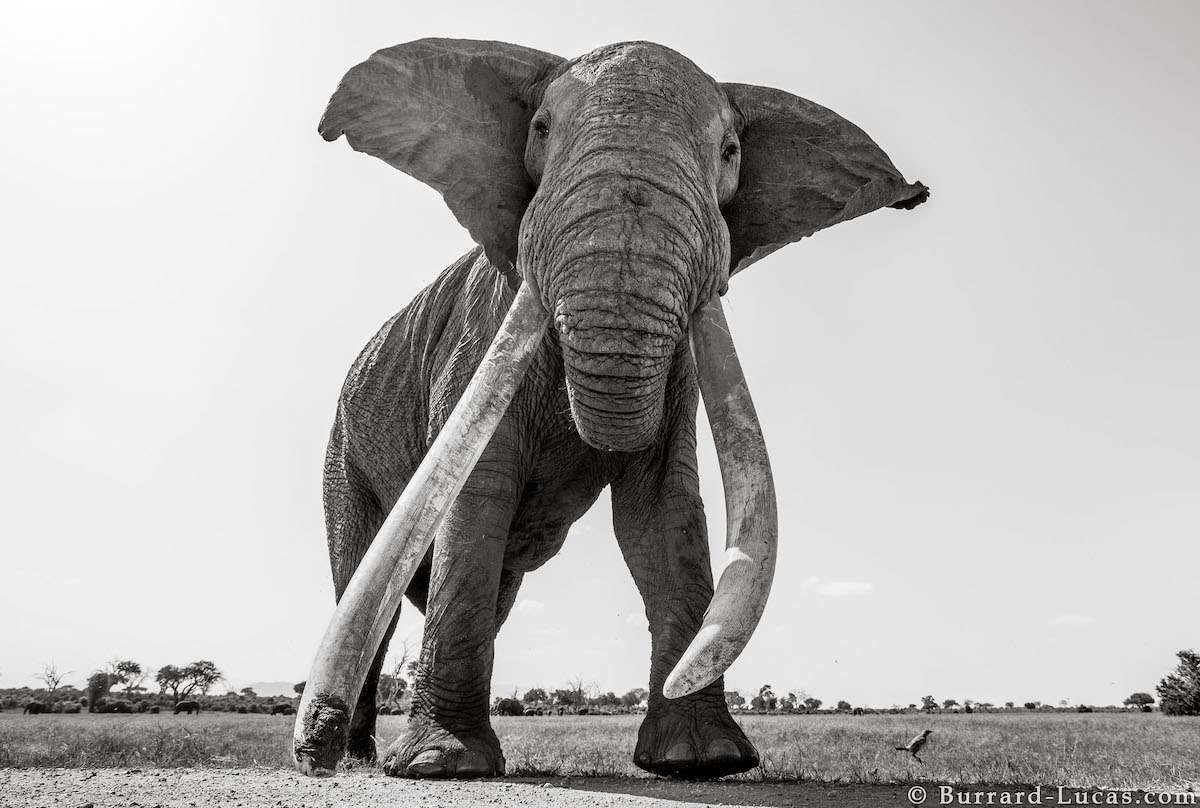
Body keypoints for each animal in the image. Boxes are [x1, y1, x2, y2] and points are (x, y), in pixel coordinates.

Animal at [292, 37, 926, 782]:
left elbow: (662, 510)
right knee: (366, 581)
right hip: (343, 451)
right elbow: (477, 496)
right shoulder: (476, 340)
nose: (310, 750)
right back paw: (355, 757)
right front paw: (441, 767)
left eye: (730, 153)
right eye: (541, 130)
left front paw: (703, 762)